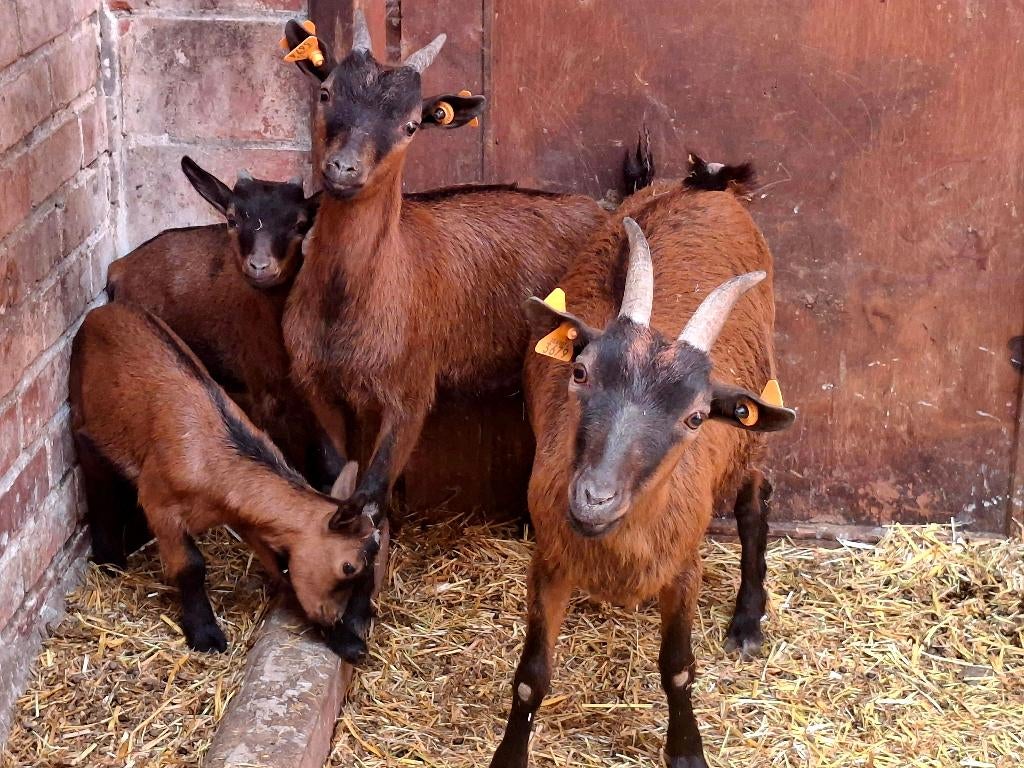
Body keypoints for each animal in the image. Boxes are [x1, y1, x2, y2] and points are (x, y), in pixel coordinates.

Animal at [69, 302, 378, 652]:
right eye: (348, 567)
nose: (333, 618)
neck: (216, 460)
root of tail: (102, 312)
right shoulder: (161, 503)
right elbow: (190, 566)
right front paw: (205, 633)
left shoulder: (251, 521)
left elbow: (280, 566)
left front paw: (347, 640)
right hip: (88, 420)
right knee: (97, 476)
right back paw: (110, 558)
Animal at [280, 13, 609, 662]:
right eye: (326, 92)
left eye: (410, 124)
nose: (343, 170)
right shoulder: (318, 388)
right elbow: (337, 484)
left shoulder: (410, 394)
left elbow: (372, 496)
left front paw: (356, 624)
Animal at [489, 185, 796, 767]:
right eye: (580, 372)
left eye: (695, 417)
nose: (594, 500)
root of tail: (708, 185)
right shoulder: (550, 560)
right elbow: (530, 677)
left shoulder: (683, 567)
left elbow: (677, 669)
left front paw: (687, 752)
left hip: (752, 437)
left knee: (753, 502)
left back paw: (748, 620)